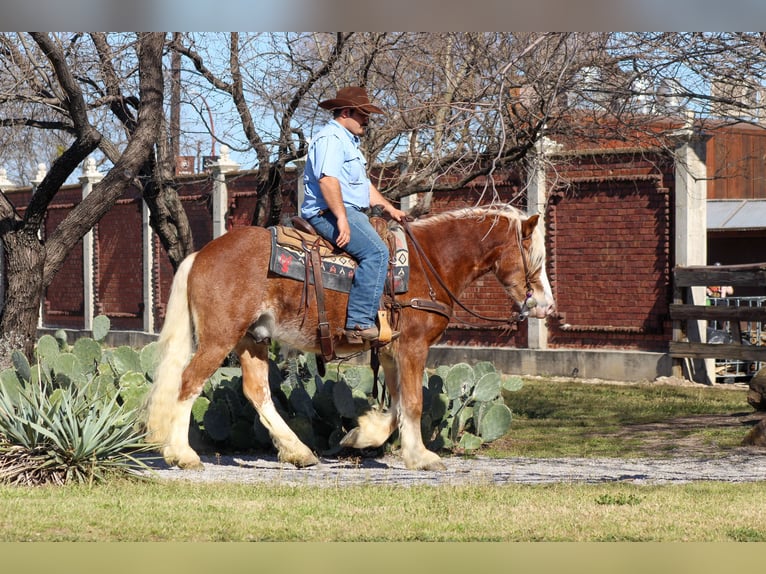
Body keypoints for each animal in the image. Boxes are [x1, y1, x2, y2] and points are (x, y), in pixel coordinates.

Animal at [146, 207, 552, 472]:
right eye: (534, 258)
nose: (546, 305)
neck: (430, 262)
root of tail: (202, 254)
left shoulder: (390, 351)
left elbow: (398, 406)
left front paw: (360, 436)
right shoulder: (413, 346)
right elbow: (414, 404)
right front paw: (422, 457)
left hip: (252, 339)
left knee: (256, 391)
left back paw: (298, 452)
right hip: (220, 337)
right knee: (189, 382)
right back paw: (182, 454)